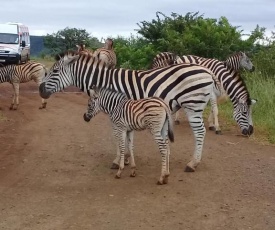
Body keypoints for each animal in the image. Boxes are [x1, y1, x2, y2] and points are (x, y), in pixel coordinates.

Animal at [38, 50, 252, 172]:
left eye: (54, 72)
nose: (40, 89)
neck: (106, 83)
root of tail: (207, 71)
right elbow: (124, 138)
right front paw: (125, 159)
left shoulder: (117, 110)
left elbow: (118, 138)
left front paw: (118, 160)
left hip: (193, 105)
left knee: (200, 133)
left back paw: (193, 164)